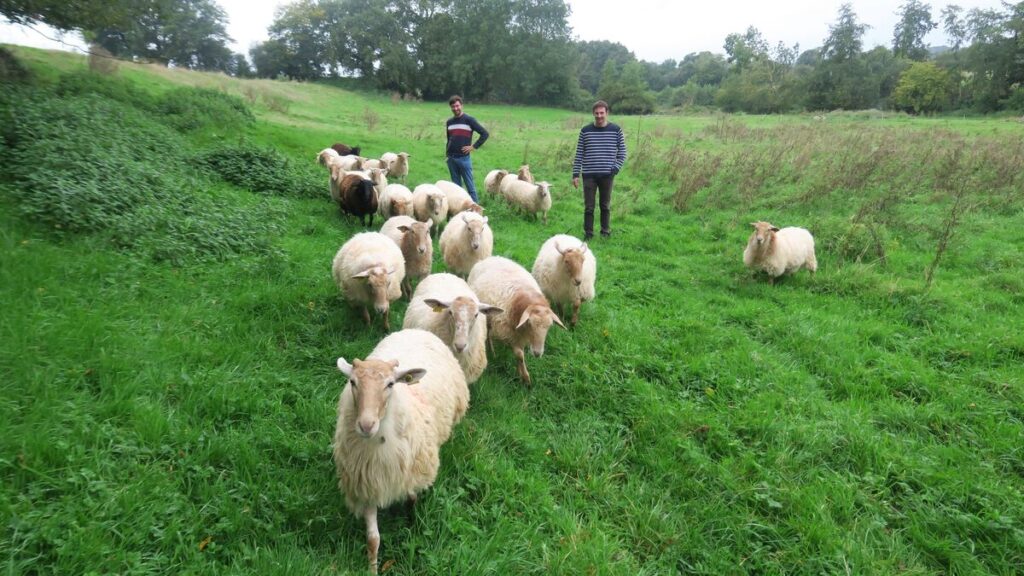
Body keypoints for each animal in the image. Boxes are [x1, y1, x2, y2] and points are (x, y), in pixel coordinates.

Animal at [331, 325, 468, 569]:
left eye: (390, 384)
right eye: (353, 382)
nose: (366, 425)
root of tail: (417, 330)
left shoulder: (414, 471)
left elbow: (412, 498)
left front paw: (412, 522)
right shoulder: (368, 485)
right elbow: (373, 540)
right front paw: (372, 569)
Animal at [468, 255, 565, 385]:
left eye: (549, 326)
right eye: (530, 323)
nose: (537, 353)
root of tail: (488, 258)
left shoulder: (520, 334)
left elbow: (520, 354)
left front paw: (521, 372)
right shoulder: (510, 333)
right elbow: (519, 355)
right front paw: (526, 378)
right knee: (488, 333)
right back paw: (492, 351)